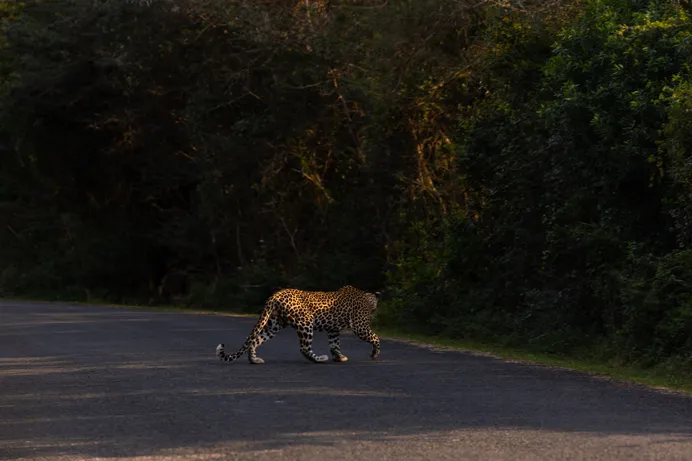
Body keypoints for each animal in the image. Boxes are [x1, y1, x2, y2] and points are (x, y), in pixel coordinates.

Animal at [215, 285, 381, 364]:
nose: (375, 311)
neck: (367, 297)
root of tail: (275, 295)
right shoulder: (360, 327)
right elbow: (375, 338)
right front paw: (375, 353)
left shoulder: (333, 329)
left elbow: (335, 345)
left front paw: (339, 357)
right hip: (305, 321)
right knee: (304, 348)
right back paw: (320, 359)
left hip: (274, 324)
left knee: (255, 340)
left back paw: (254, 360)